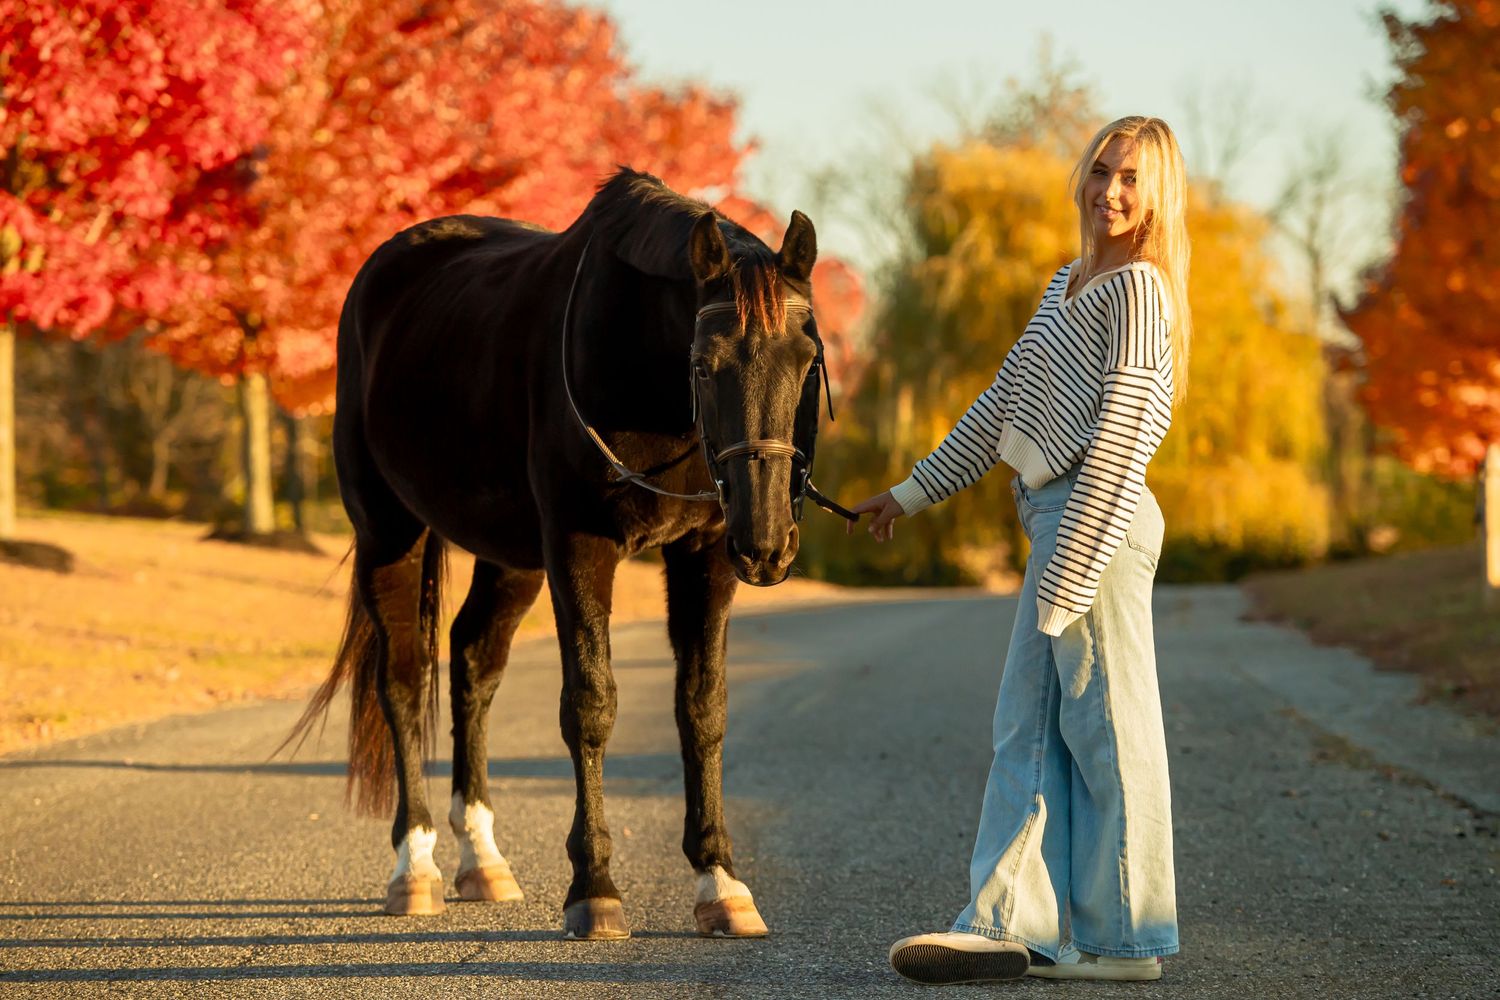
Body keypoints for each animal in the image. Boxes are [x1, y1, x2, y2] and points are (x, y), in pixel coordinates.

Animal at [286, 168, 844, 940]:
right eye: (704, 364)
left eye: (808, 358)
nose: (765, 542)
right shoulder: (580, 546)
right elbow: (589, 705)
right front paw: (595, 887)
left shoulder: (703, 553)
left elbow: (702, 707)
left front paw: (721, 882)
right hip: (388, 530)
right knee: (402, 677)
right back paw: (415, 868)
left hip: (511, 557)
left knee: (472, 661)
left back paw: (483, 860)